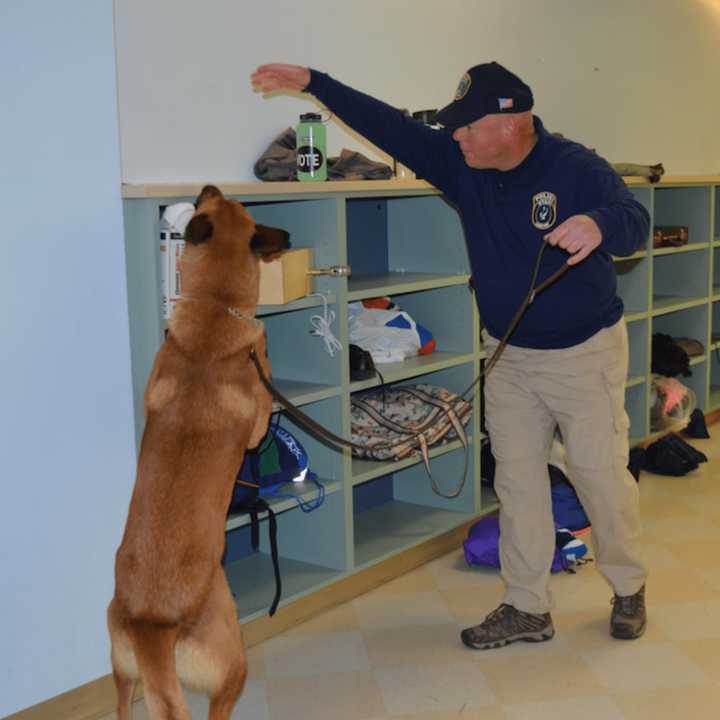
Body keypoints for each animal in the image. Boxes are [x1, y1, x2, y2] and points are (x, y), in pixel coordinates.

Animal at [108, 187, 288, 720]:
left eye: (216, 201)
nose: (208, 185)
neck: (214, 310)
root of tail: (152, 622)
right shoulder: (255, 423)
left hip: (123, 672)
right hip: (232, 662)